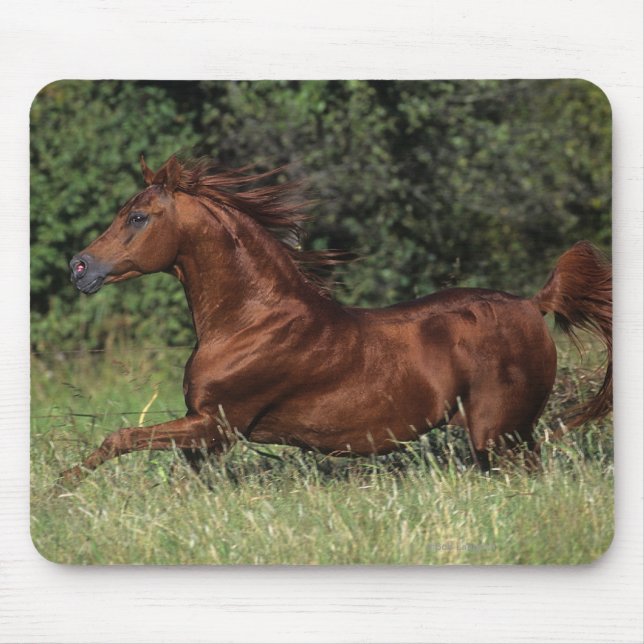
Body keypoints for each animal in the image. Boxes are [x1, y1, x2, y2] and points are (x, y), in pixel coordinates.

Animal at [60, 154, 612, 483]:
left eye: (137, 217)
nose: (79, 266)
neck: (251, 321)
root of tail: (533, 304)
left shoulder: (216, 425)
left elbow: (119, 438)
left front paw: (62, 487)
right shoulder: (207, 437)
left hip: (500, 434)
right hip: (505, 437)